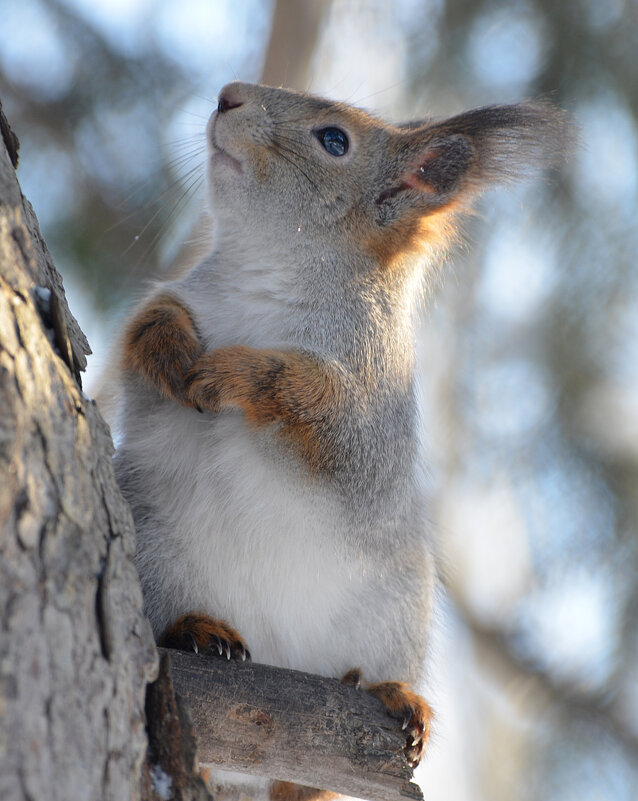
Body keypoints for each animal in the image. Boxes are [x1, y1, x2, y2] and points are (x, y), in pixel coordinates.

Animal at [114, 81, 576, 800]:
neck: (277, 266)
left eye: (335, 140)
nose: (228, 95)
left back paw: (394, 697)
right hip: (154, 550)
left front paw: (231, 371)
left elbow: (319, 401)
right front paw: (171, 351)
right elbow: (147, 325)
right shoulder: (183, 297)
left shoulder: (371, 405)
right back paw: (199, 632)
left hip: (395, 612)